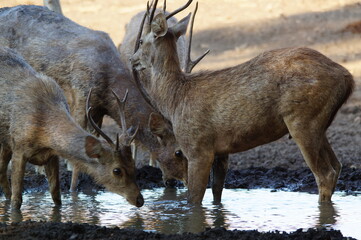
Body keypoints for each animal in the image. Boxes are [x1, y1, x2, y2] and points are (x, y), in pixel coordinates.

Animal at [0, 46, 143, 209]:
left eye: (133, 164)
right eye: (117, 170)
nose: (139, 200)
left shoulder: (51, 155)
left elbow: (56, 195)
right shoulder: (19, 147)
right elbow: (16, 200)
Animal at [128, 0, 352, 204]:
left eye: (142, 42)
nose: (132, 59)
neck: (174, 100)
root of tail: (347, 77)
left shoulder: (198, 147)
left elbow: (193, 200)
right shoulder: (221, 151)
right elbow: (217, 193)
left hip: (303, 121)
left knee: (325, 173)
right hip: (319, 124)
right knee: (338, 166)